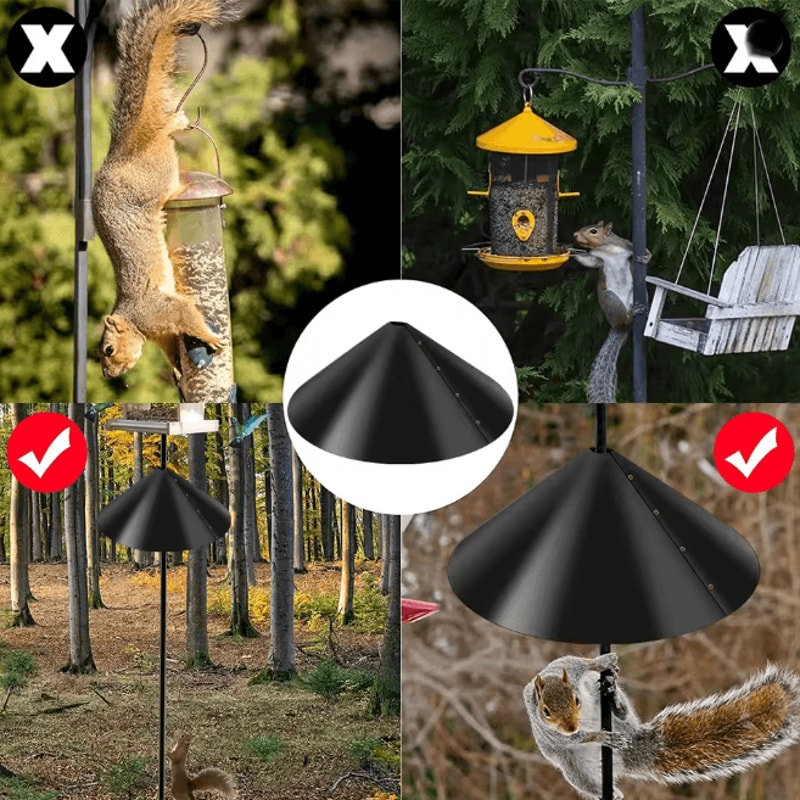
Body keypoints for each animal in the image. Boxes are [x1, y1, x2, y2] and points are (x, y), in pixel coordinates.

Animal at [92, 0, 242, 379]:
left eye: (108, 349)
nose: (109, 375)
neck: (136, 320)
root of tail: (121, 154)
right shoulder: (161, 331)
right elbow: (172, 346)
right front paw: (177, 370)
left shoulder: (161, 310)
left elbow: (186, 315)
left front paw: (211, 337)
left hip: (154, 180)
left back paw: (173, 123)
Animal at [524, 653, 800, 800]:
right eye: (546, 712)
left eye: (577, 700)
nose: (570, 726)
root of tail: (632, 750)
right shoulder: (554, 735)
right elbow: (576, 738)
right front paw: (599, 735)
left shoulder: (569, 665)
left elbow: (583, 662)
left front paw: (602, 662)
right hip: (575, 770)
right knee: (587, 781)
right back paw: (612, 793)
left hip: (613, 711)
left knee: (621, 715)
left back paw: (616, 704)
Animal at [571, 222, 650, 404]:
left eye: (593, 231)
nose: (574, 235)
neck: (606, 248)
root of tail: (618, 327)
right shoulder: (596, 258)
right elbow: (588, 260)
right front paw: (571, 252)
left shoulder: (626, 245)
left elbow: (641, 250)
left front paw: (646, 257)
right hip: (610, 299)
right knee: (624, 319)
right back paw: (632, 314)